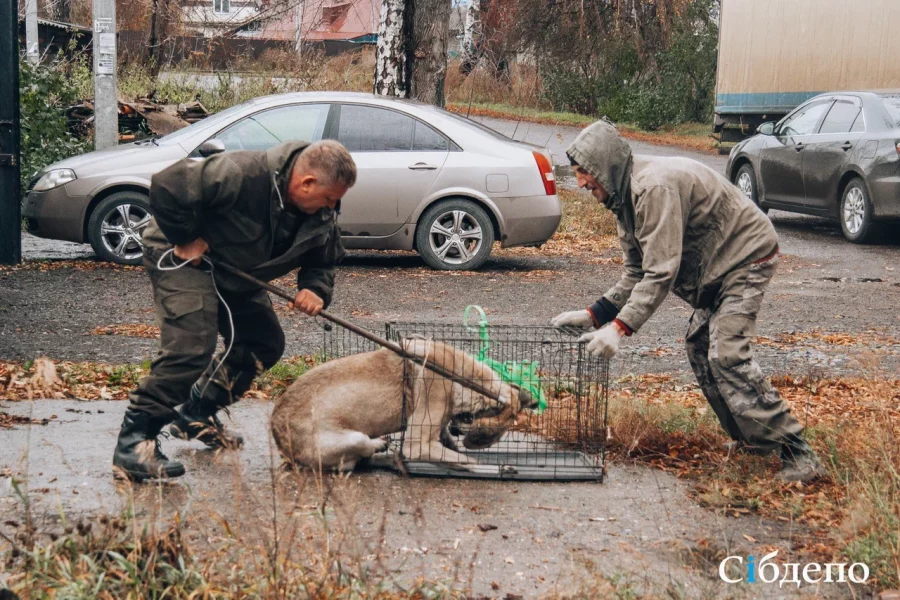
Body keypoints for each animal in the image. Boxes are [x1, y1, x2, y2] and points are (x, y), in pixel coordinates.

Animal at [270, 338, 536, 474]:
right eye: (490, 437)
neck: (461, 378)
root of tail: (278, 436)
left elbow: (446, 439)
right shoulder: (417, 445)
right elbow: (468, 461)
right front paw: (493, 466)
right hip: (351, 439)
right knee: (356, 458)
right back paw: (381, 449)